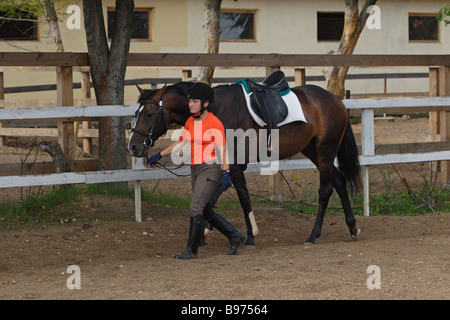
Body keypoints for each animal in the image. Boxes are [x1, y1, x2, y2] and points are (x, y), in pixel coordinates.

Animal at [127, 80, 362, 245]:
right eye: (136, 113)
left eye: (149, 114)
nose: (133, 147)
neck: (217, 110)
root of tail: (336, 100)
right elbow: (210, 200)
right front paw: (205, 232)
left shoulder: (235, 166)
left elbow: (243, 199)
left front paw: (250, 236)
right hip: (313, 151)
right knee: (340, 182)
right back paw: (352, 228)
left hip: (325, 152)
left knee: (326, 190)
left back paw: (314, 235)